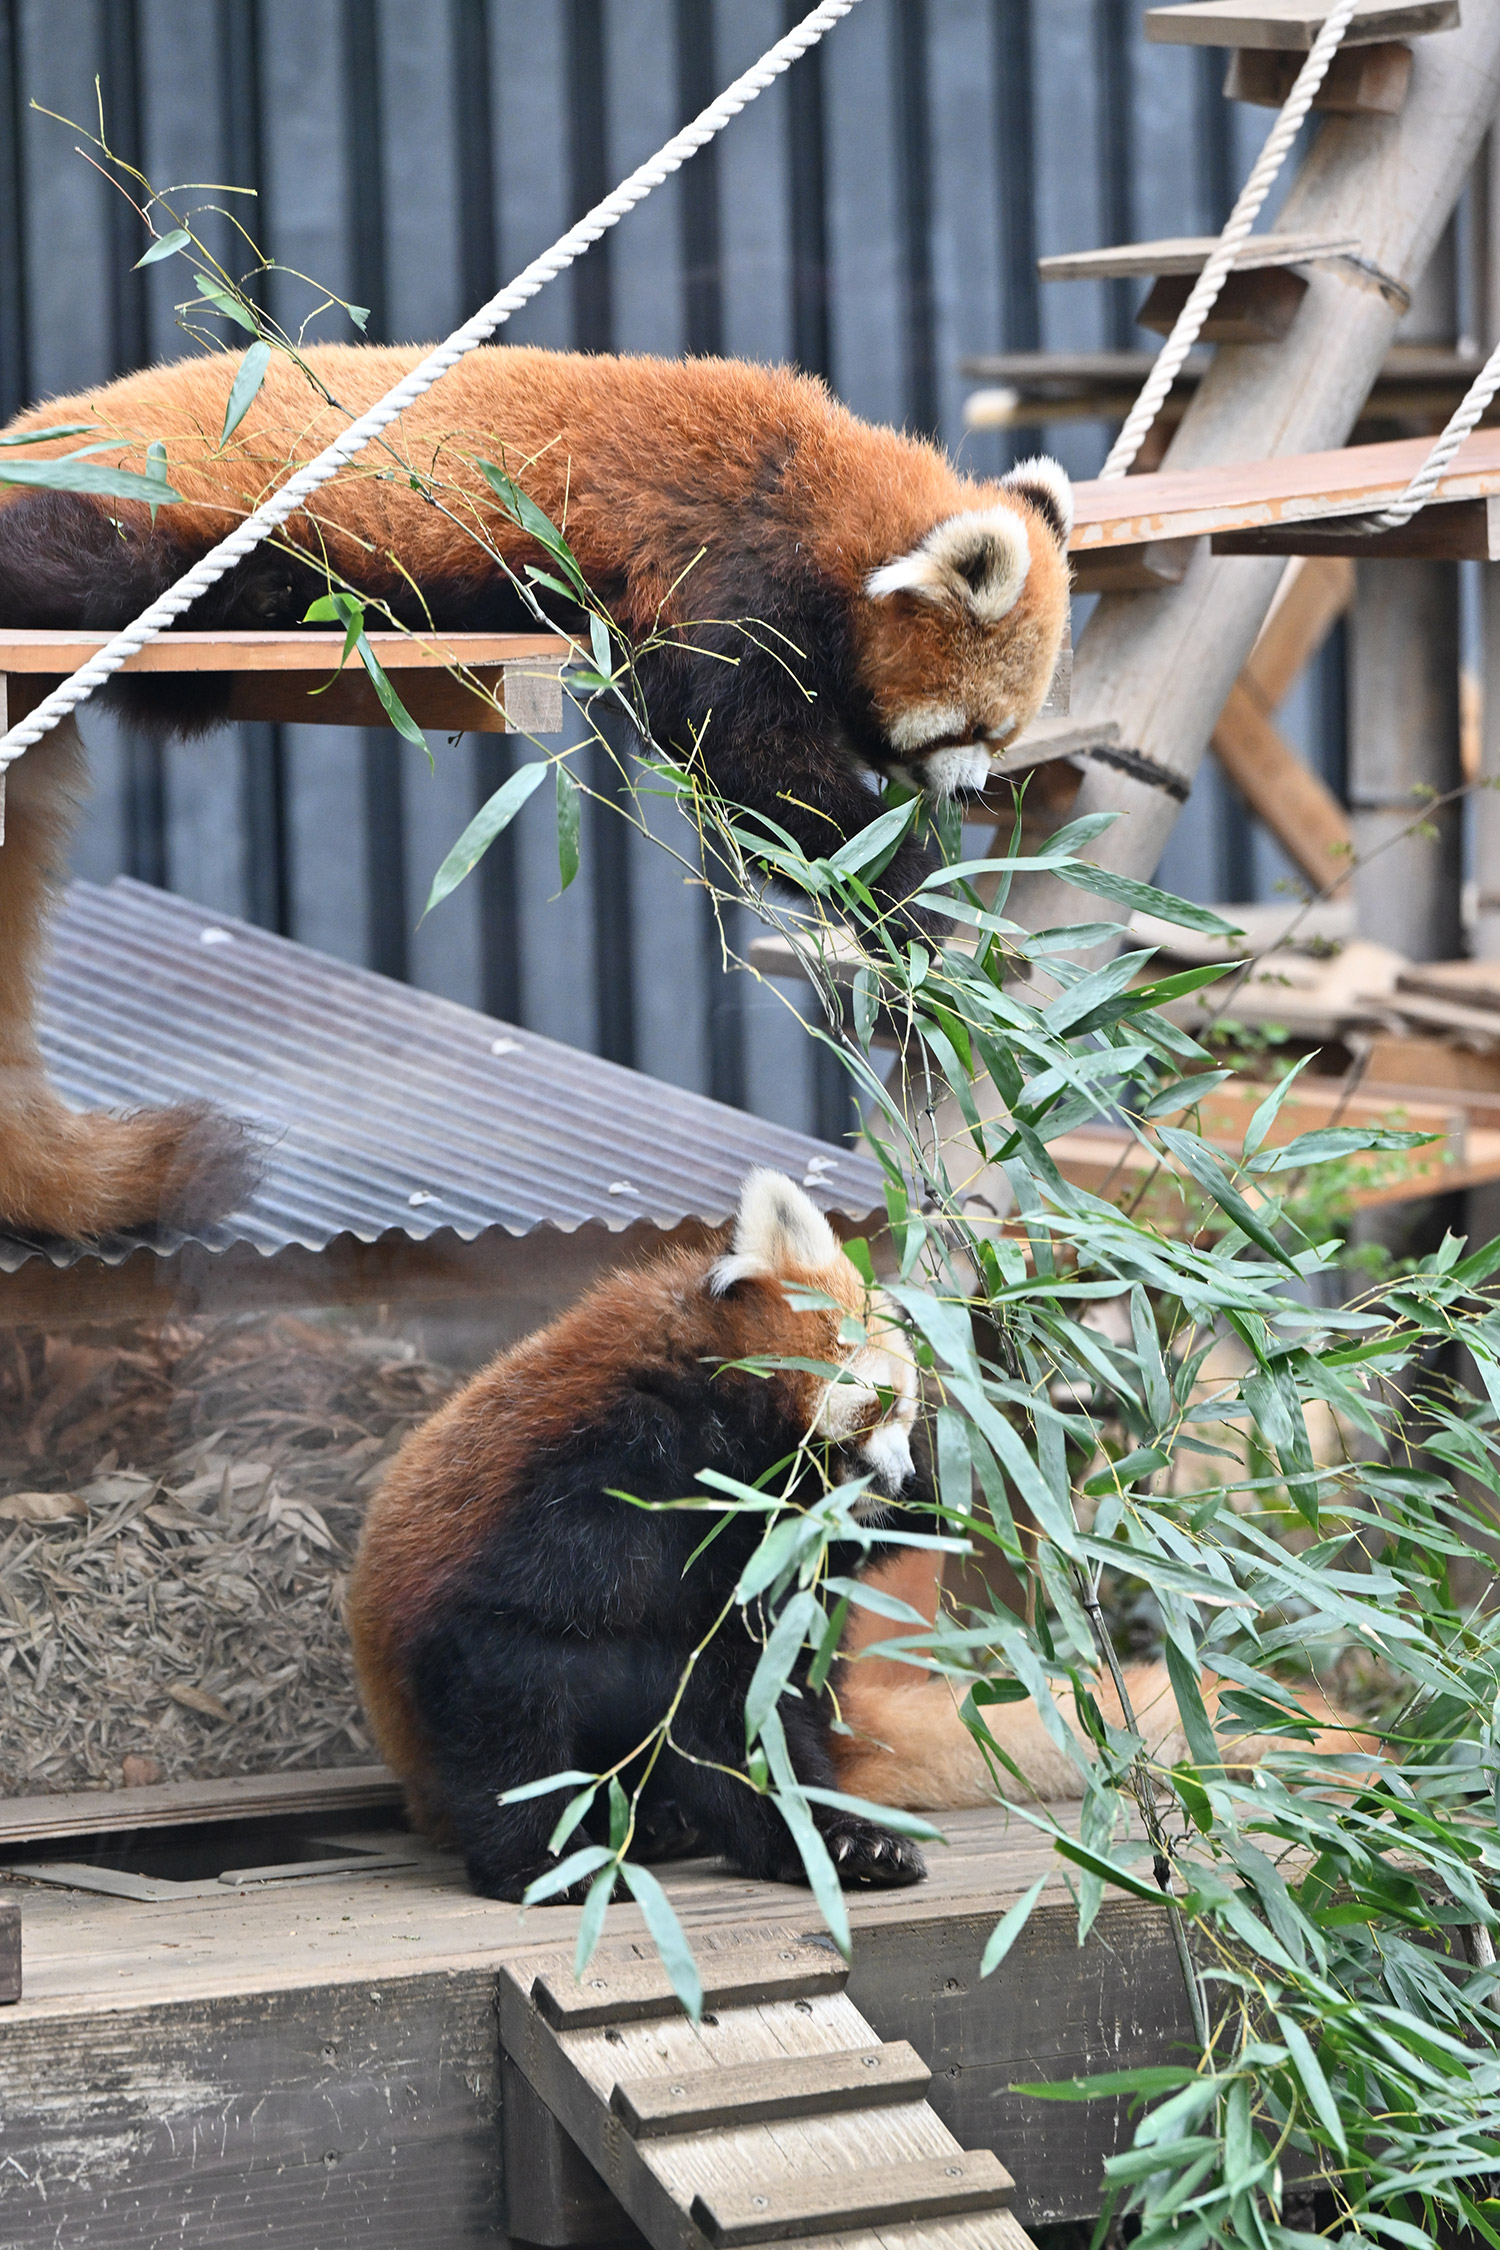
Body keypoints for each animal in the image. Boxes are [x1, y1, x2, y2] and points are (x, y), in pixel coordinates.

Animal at [0, 345, 1072, 1241]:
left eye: (1000, 736)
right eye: (974, 731)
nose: (977, 790)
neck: (810, 488)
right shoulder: (722, 578)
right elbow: (759, 777)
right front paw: (915, 902)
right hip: (129, 502)